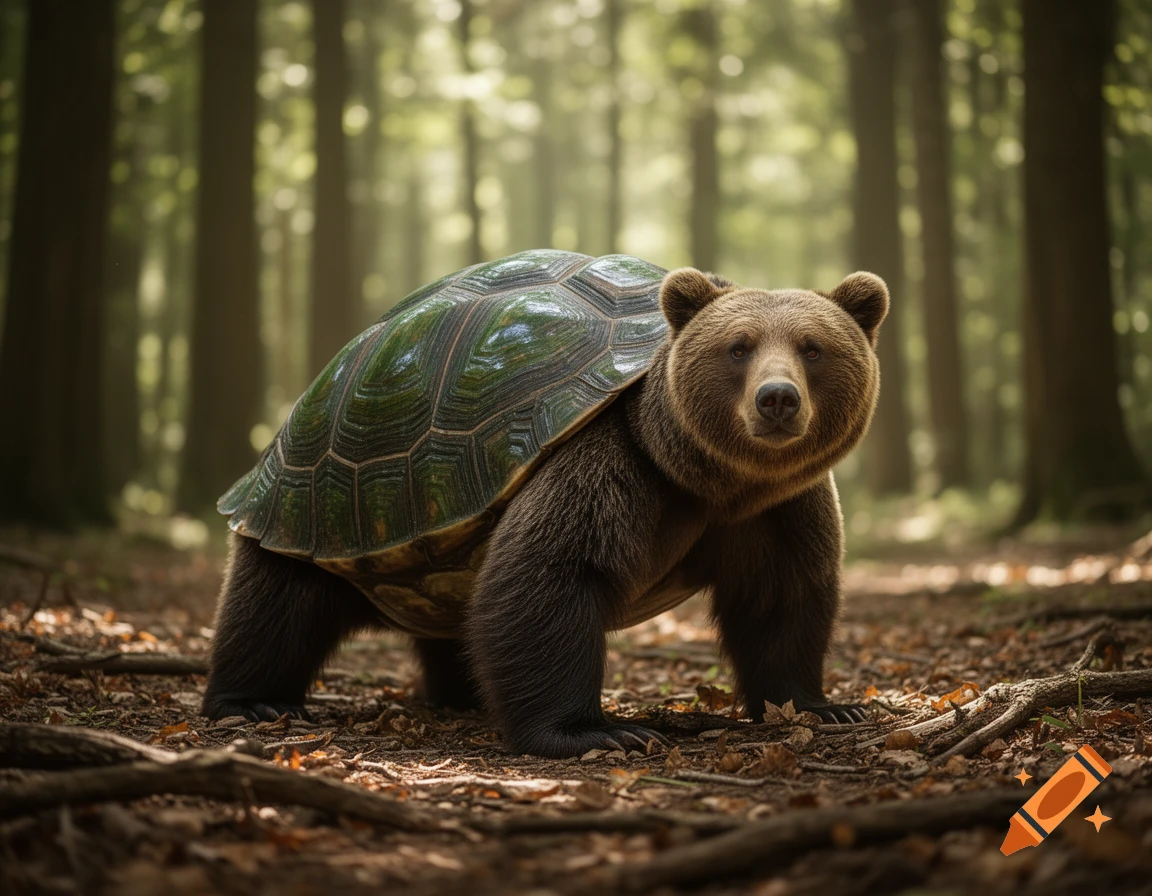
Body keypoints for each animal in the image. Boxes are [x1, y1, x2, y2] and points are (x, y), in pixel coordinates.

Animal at [201, 266, 888, 759]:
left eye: (813, 347)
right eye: (738, 348)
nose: (778, 400)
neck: (710, 483)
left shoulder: (775, 509)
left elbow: (782, 597)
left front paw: (827, 705)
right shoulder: (606, 457)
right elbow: (549, 575)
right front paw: (596, 730)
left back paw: (462, 697)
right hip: (313, 501)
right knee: (274, 603)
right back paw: (253, 701)